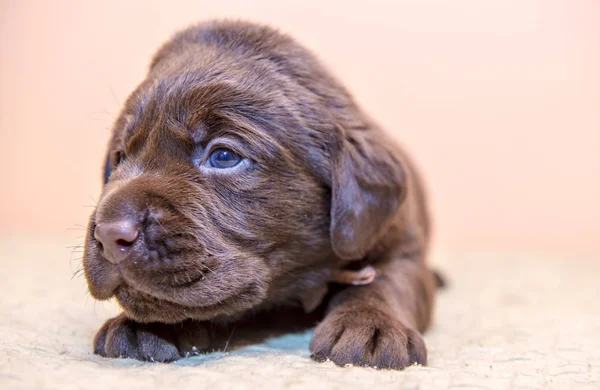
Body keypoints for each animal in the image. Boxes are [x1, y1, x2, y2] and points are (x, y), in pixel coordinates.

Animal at [82, 20, 438, 368]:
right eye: (120, 156)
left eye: (224, 156)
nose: (109, 234)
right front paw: (143, 326)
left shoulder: (400, 242)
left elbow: (387, 281)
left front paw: (371, 325)